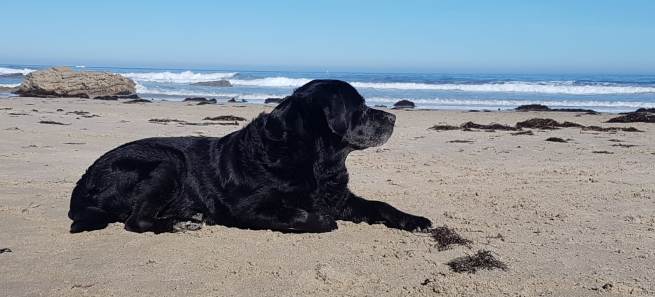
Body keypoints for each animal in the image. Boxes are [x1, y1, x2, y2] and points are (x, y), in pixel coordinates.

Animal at [69, 80, 434, 232]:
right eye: (360, 107)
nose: (393, 117)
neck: (315, 162)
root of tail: (81, 183)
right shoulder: (247, 208)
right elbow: (302, 215)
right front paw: (321, 221)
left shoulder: (340, 197)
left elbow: (380, 205)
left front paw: (415, 220)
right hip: (166, 162)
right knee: (137, 221)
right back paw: (181, 223)